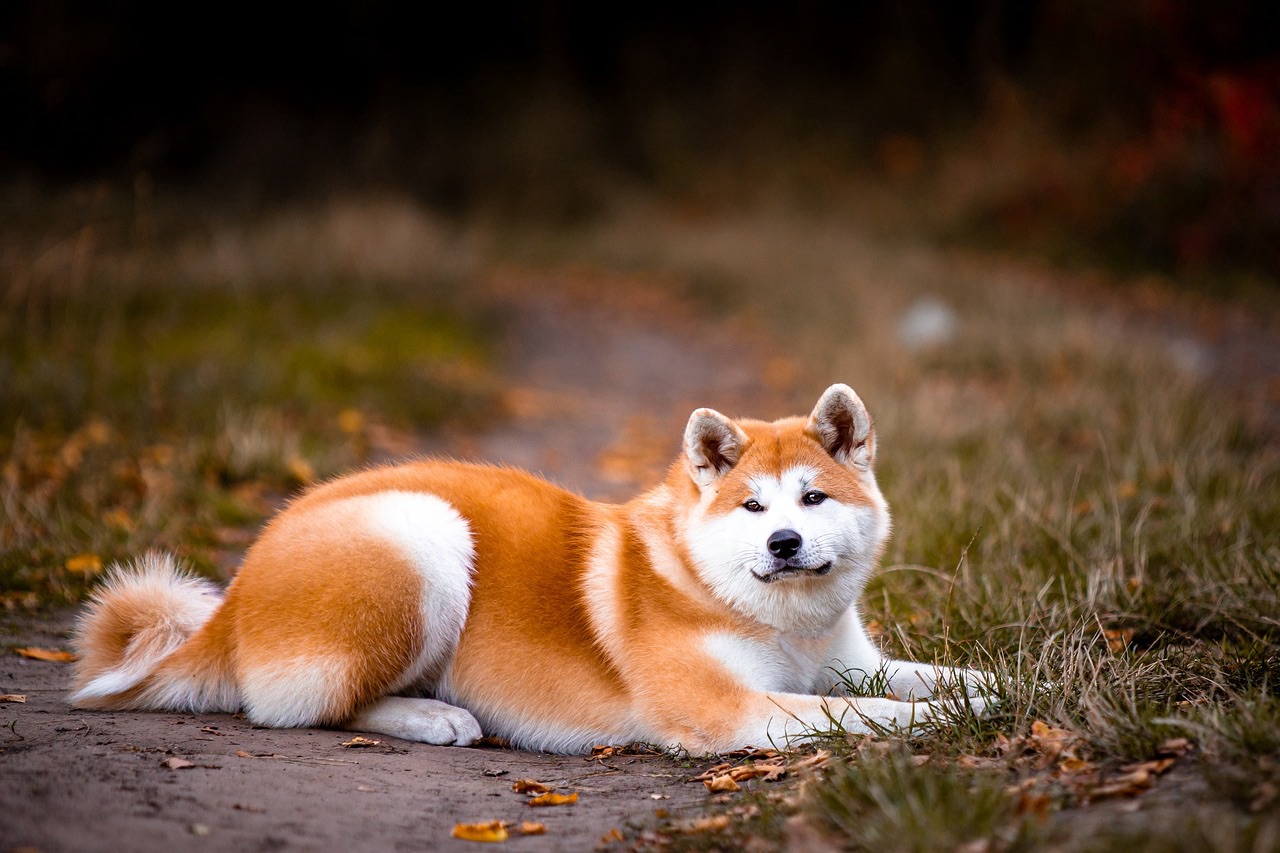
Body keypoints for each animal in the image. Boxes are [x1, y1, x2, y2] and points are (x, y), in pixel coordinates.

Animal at [67, 384, 988, 753]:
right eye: (752, 507)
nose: (785, 544)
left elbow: (928, 679)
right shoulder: (724, 706)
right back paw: (435, 716)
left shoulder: (849, 661)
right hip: (425, 535)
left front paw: (991, 691)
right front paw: (940, 721)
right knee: (301, 708)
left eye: (813, 497)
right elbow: (858, 713)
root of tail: (236, 591)